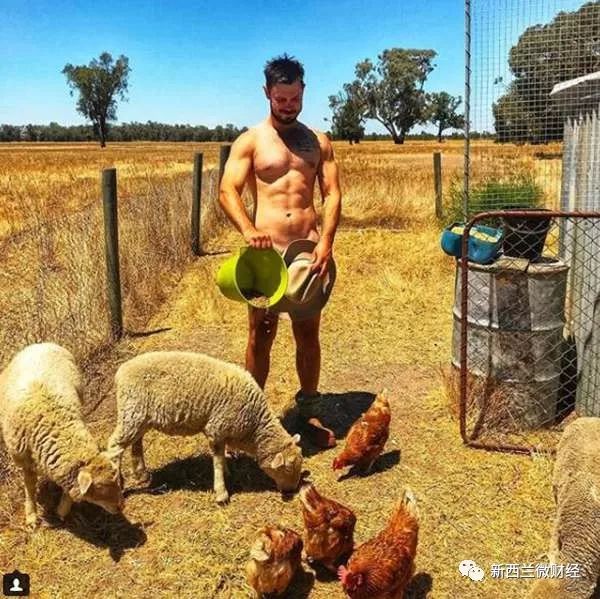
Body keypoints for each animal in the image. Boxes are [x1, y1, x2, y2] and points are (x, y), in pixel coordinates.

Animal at [0, 343, 123, 528]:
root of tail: (40, 344)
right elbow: (29, 486)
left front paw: (62, 510)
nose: (121, 506)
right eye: (100, 487)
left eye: (117, 481)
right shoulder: (24, 461)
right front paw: (31, 516)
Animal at [106, 351, 303, 504]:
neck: (254, 428)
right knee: (114, 446)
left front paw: (227, 472)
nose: (292, 490)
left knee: (136, 441)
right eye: (287, 468)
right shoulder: (216, 429)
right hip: (131, 411)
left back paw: (141, 474)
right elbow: (216, 460)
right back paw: (118, 485)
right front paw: (222, 493)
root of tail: (120, 372)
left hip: (139, 416)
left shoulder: (222, 432)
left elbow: (221, 456)